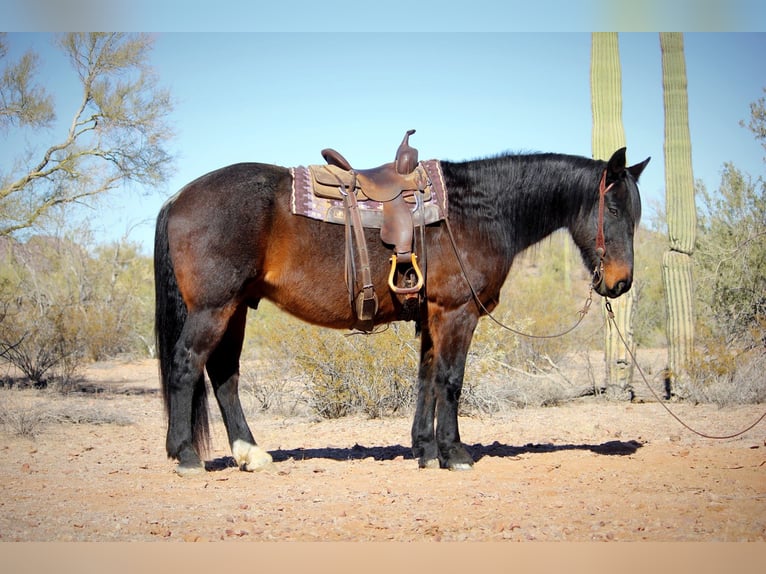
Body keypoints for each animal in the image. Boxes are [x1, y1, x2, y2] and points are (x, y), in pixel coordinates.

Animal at [154, 145, 648, 476]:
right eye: (614, 207)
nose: (620, 283)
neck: (477, 210)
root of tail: (178, 197)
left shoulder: (431, 318)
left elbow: (426, 381)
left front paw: (425, 450)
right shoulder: (456, 313)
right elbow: (451, 381)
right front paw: (455, 453)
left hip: (235, 308)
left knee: (224, 375)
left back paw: (250, 453)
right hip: (214, 307)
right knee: (186, 365)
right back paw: (186, 455)